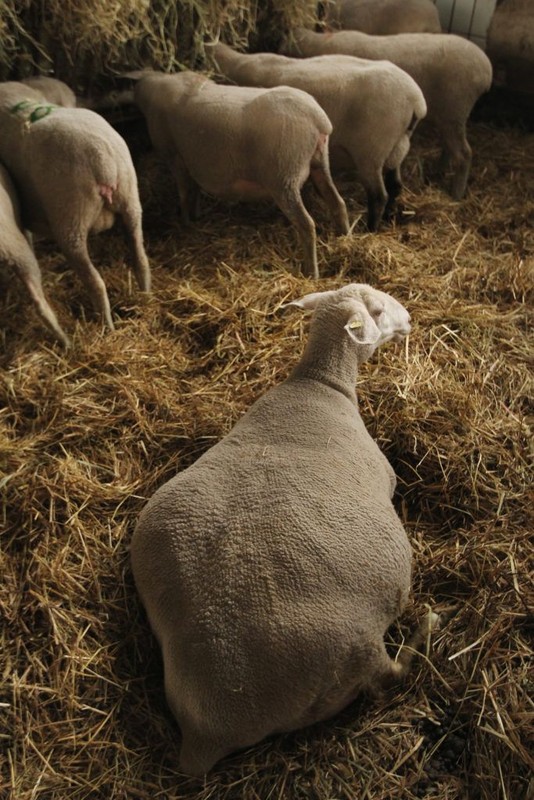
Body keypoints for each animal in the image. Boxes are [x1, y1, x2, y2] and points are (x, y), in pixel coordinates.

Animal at [131, 69, 352, 282]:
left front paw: (185, 223)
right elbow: (195, 190)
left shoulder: (176, 157)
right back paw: (344, 239)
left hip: (283, 177)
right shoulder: (192, 161)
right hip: (319, 163)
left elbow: (185, 194)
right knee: (337, 203)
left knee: (307, 224)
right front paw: (195, 215)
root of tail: (318, 121)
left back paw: (311, 272)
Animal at [132, 284, 442, 780]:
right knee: (391, 676)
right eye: (378, 311)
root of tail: (208, 731)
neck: (319, 381)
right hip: (356, 649)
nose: (410, 318)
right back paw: (429, 625)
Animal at [209, 43, 428, 231]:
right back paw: (389, 217)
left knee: (378, 195)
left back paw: (371, 229)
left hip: (371, 150)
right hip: (396, 147)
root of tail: (416, 101)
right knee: (395, 185)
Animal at [282, 27, 496, 200]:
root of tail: (486, 70)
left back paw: (456, 193)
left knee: (464, 154)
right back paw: (439, 170)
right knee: (449, 147)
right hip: (450, 116)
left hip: (455, 110)